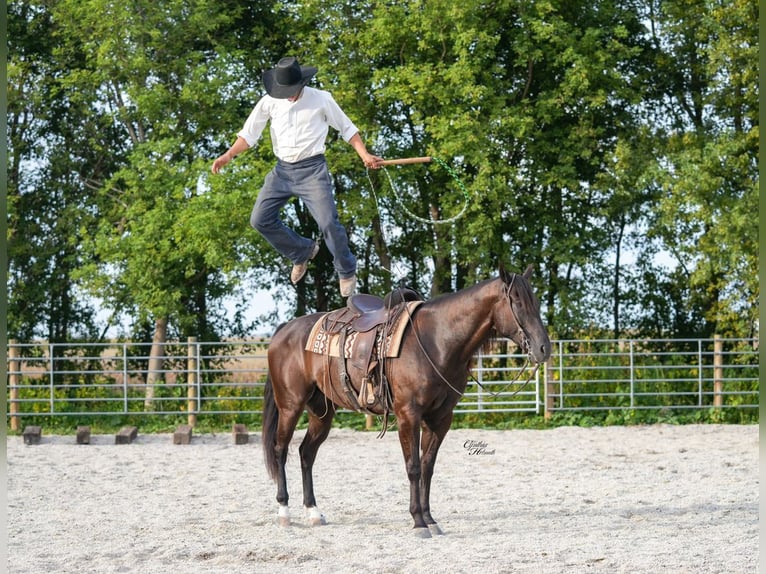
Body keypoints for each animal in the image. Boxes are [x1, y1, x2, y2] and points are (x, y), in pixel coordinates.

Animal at [261, 264, 552, 537]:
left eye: (536, 301)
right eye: (516, 301)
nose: (544, 348)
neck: (436, 341)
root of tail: (284, 330)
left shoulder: (440, 419)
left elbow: (427, 467)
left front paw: (431, 519)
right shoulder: (408, 415)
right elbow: (413, 467)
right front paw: (418, 522)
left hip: (321, 411)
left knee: (306, 453)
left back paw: (313, 512)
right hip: (290, 406)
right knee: (280, 449)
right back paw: (284, 510)